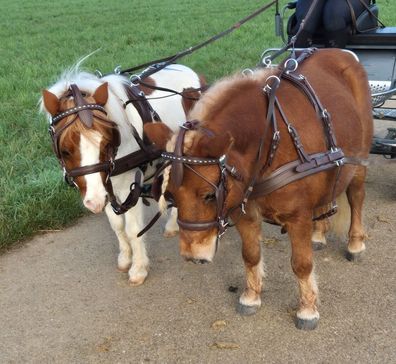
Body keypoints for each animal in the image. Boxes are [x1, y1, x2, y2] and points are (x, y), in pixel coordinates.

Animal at [41, 63, 204, 284]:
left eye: (107, 143)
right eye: (65, 150)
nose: (93, 203)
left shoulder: (129, 188)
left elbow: (133, 229)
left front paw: (138, 268)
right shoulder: (106, 187)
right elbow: (117, 225)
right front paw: (125, 258)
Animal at [145, 49, 372, 332]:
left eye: (209, 195)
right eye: (171, 196)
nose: (192, 256)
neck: (270, 141)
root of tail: (341, 53)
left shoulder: (297, 216)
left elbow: (302, 264)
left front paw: (307, 309)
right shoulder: (243, 210)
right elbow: (251, 255)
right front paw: (251, 296)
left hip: (359, 160)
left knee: (356, 197)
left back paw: (355, 243)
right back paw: (319, 234)